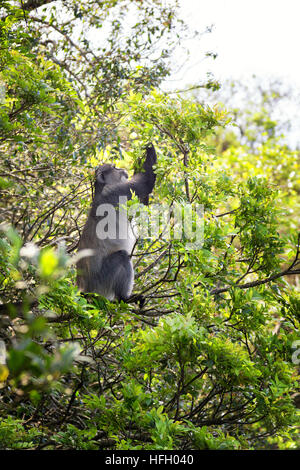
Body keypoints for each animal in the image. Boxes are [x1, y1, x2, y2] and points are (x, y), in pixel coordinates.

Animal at [76, 143, 157, 302]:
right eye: (114, 167)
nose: (121, 169)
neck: (102, 189)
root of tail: (85, 289)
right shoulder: (118, 192)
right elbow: (146, 181)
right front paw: (150, 149)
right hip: (102, 281)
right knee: (121, 257)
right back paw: (124, 297)